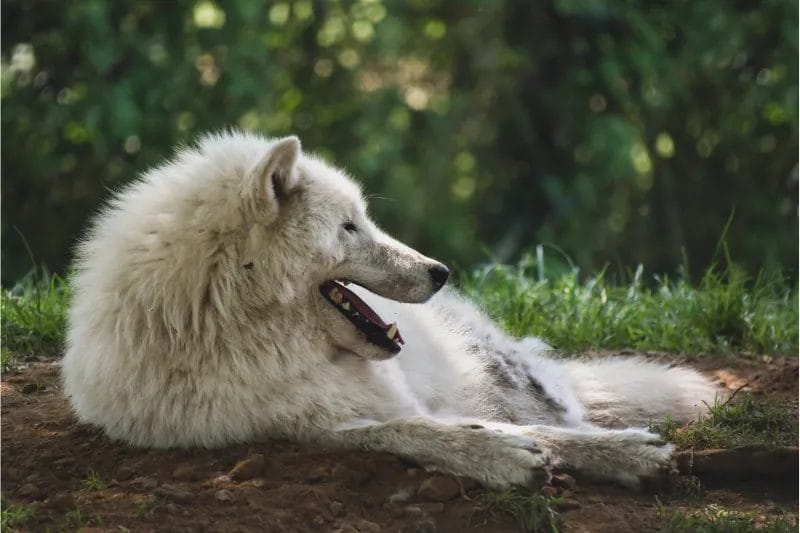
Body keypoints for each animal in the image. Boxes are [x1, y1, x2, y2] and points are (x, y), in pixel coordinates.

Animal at [62, 131, 717, 490]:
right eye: (350, 227)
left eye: (365, 218)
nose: (440, 272)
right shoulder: (294, 427)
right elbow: (404, 433)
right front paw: (499, 456)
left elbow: (529, 431)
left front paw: (623, 452)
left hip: (503, 374)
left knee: (561, 411)